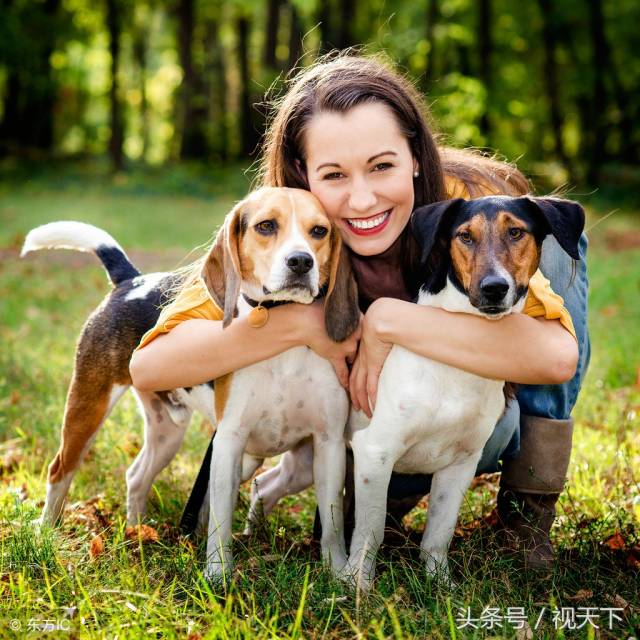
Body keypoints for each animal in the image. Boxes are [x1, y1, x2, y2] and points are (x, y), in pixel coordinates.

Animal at [21, 188, 360, 584]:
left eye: (319, 231)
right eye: (266, 226)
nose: (301, 262)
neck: (284, 335)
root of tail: (133, 280)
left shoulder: (329, 444)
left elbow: (333, 524)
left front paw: (339, 574)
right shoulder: (229, 442)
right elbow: (219, 521)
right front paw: (217, 576)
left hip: (169, 432)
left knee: (136, 477)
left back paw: (137, 533)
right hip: (87, 407)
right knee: (60, 470)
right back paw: (47, 532)